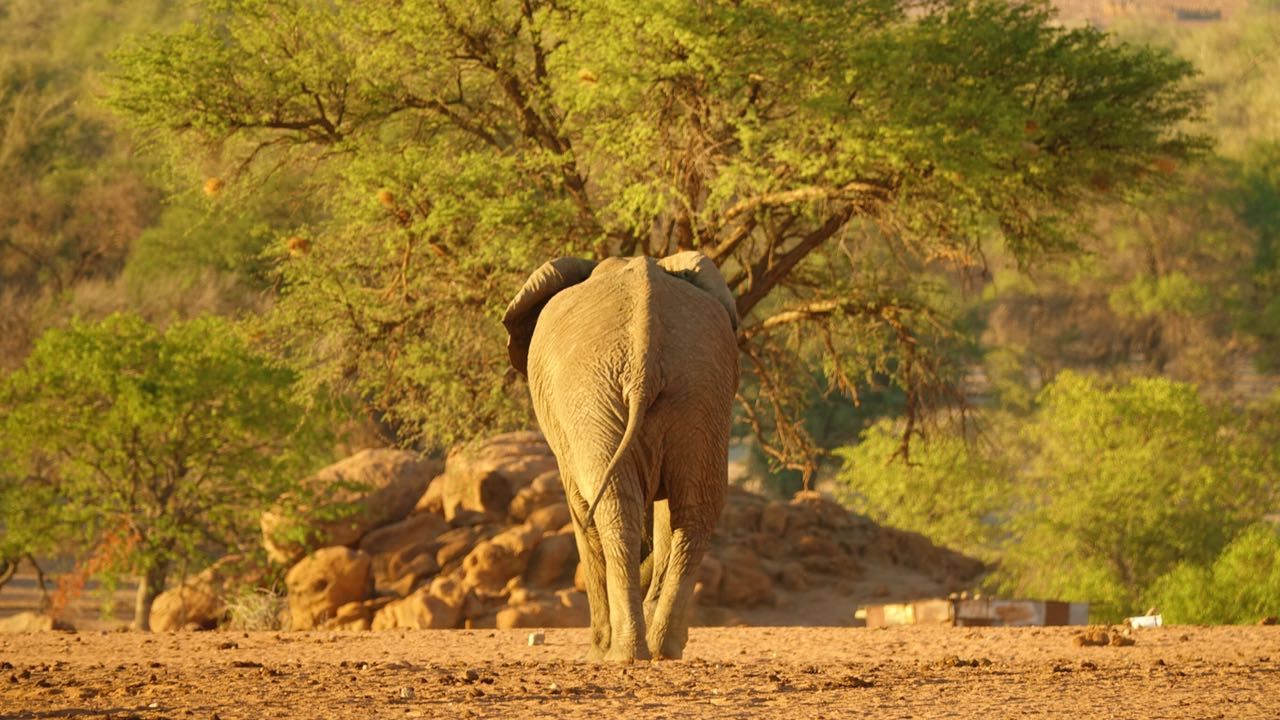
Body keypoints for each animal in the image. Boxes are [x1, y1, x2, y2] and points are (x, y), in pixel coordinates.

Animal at [502, 251, 739, 661]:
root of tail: (646, 355)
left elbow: (581, 511)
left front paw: (596, 651)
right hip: (700, 390)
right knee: (694, 512)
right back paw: (662, 650)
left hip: (592, 399)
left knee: (613, 512)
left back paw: (618, 654)